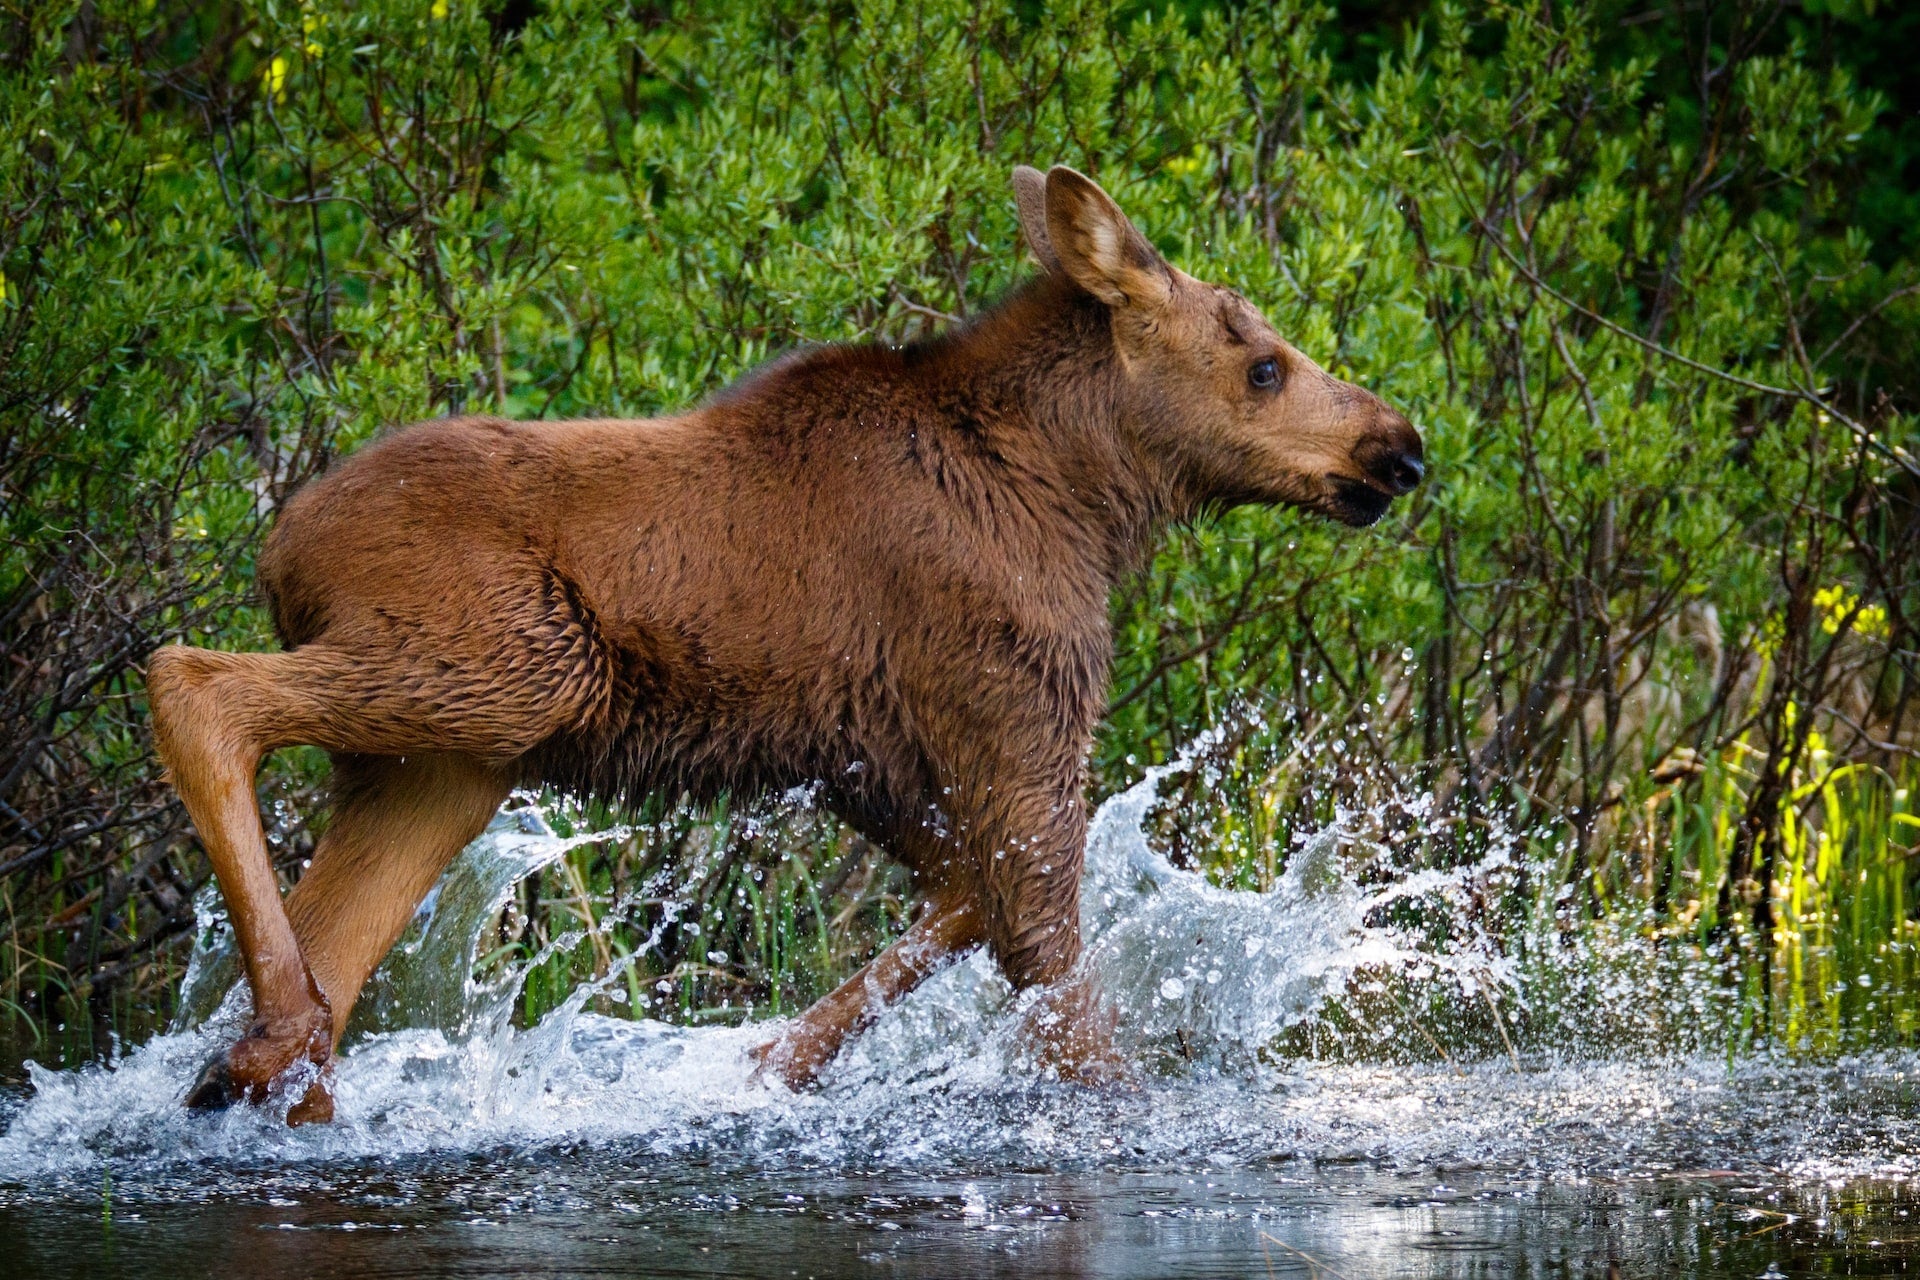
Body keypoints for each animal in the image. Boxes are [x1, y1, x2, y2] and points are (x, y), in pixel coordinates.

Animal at [149, 165, 1420, 1128]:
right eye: (1263, 366)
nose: (1399, 446)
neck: (1090, 504)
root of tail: (278, 550)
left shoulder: (868, 758)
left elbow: (965, 907)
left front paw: (761, 1067)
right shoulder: (1014, 711)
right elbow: (1059, 983)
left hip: (447, 765)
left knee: (337, 930)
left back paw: (268, 1063)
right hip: (504, 669)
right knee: (190, 680)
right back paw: (276, 1040)